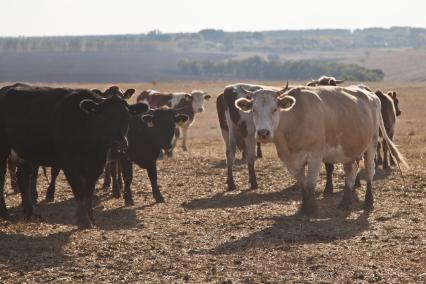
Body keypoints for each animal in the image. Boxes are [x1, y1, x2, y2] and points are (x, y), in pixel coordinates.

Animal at [0, 84, 149, 229]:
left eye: (127, 117)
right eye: (104, 118)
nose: (119, 143)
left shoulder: (96, 165)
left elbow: (88, 193)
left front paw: (92, 219)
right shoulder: (70, 166)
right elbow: (79, 192)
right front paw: (84, 220)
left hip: (27, 153)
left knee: (23, 177)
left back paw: (30, 213)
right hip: (5, 148)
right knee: (4, 177)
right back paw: (6, 214)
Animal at [235, 83, 408, 214]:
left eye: (275, 109)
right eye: (253, 110)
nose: (263, 133)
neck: (296, 118)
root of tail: (372, 95)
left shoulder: (315, 157)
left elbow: (311, 183)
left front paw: (311, 209)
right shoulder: (291, 161)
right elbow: (303, 183)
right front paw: (304, 208)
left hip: (371, 144)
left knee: (370, 171)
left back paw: (368, 202)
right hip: (349, 150)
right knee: (351, 172)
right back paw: (345, 203)